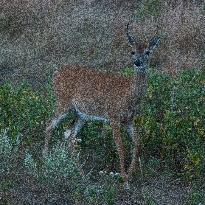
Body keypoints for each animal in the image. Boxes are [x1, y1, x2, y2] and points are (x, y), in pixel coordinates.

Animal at [44, 23, 161, 184]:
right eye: (132, 51)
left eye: (148, 52)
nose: (137, 62)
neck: (128, 94)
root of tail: (56, 73)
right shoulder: (113, 116)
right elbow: (120, 147)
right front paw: (124, 179)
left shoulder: (128, 120)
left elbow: (137, 143)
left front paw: (130, 175)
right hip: (63, 102)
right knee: (50, 125)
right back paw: (44, 163)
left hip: (81, 115)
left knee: (70, 135)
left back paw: (82, 175)